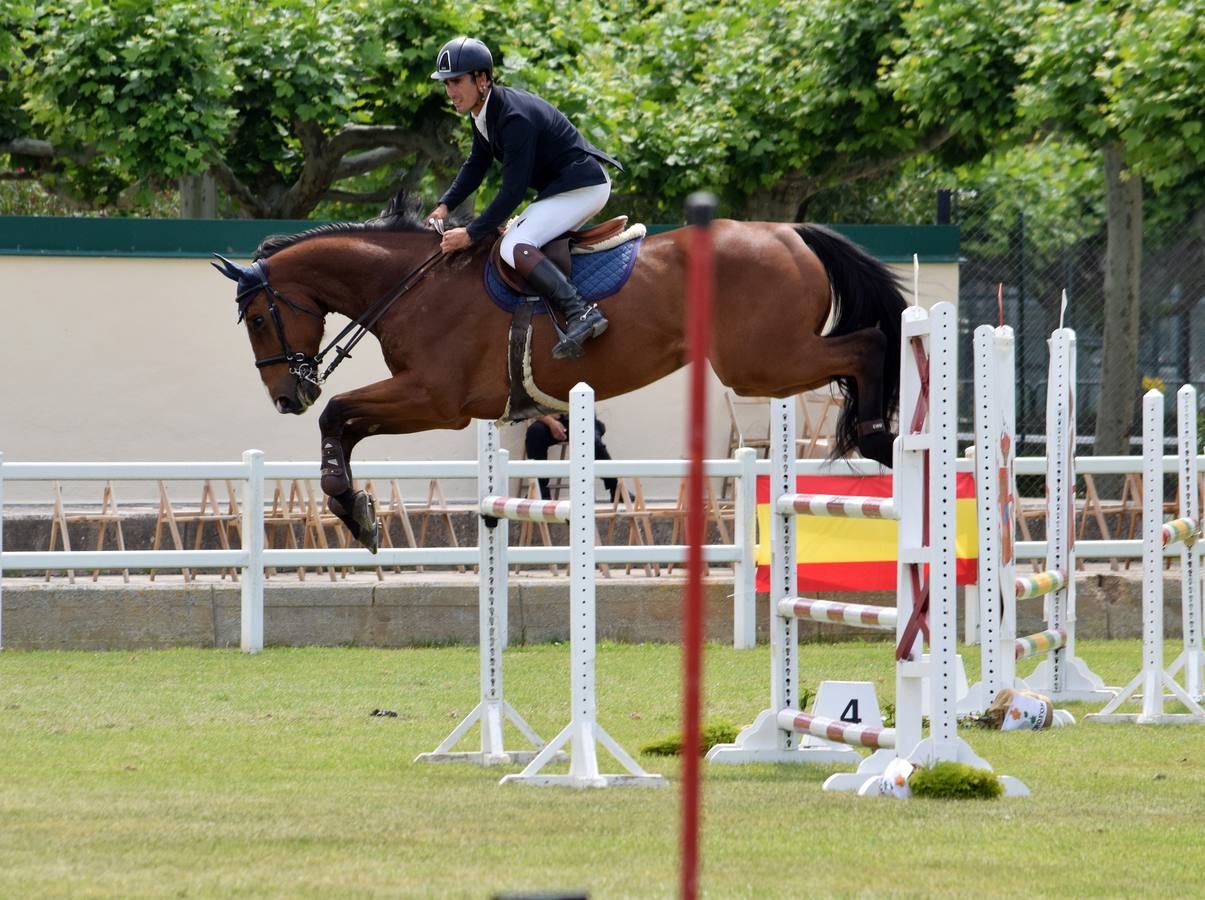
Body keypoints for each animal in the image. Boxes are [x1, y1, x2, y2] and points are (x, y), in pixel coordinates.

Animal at [214, 198, 906, 549]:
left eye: (259, 318)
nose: (287, 396)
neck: (413, 286)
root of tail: (791, 233)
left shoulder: (436, 400)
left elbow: (339, 415)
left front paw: (351, 506)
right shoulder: (425, 400)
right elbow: (344, 424)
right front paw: (353, 508)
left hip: (762, 362)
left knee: (870, 344)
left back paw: (877, 436)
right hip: (767, 365)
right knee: (863, 347)